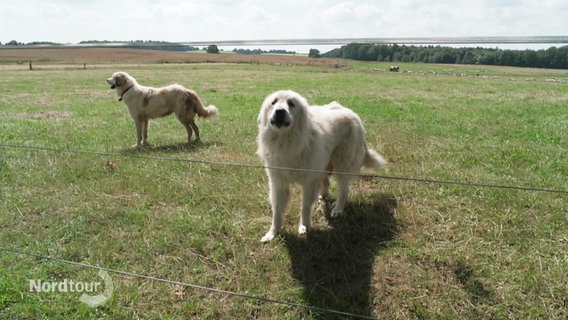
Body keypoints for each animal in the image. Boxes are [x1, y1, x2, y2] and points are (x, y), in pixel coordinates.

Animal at [258, 90, 386, 242]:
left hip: (342, 165)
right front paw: (272, 233)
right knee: (326, 182)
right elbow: (277, 210)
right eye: (274, 102)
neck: (287, 141)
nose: (279, 111)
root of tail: (353, 115)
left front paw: (304, 227)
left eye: (291, 104)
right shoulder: (279, 182)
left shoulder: (309, 182)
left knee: (344, 190)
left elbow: (305, 207)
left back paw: (337, 209)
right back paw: (323, 197)